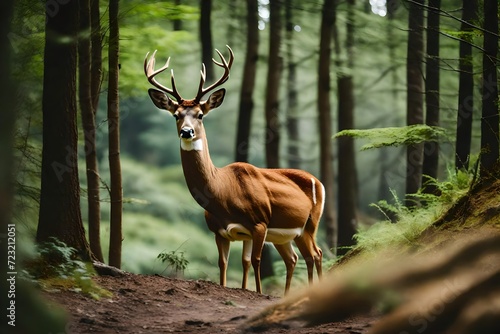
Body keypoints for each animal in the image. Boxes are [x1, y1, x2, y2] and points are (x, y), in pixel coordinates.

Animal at [145, 45, 324, 294]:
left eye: (200, 114)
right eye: (176, 115)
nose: (187, 132)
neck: (223, 192)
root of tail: (319, 181)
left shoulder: (259, 223)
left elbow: (255, 261)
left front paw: (258, 292)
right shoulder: (220, 231)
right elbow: (227, 263)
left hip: (310, 224)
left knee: (316, 254)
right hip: (286, 235)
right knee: (295, 258)